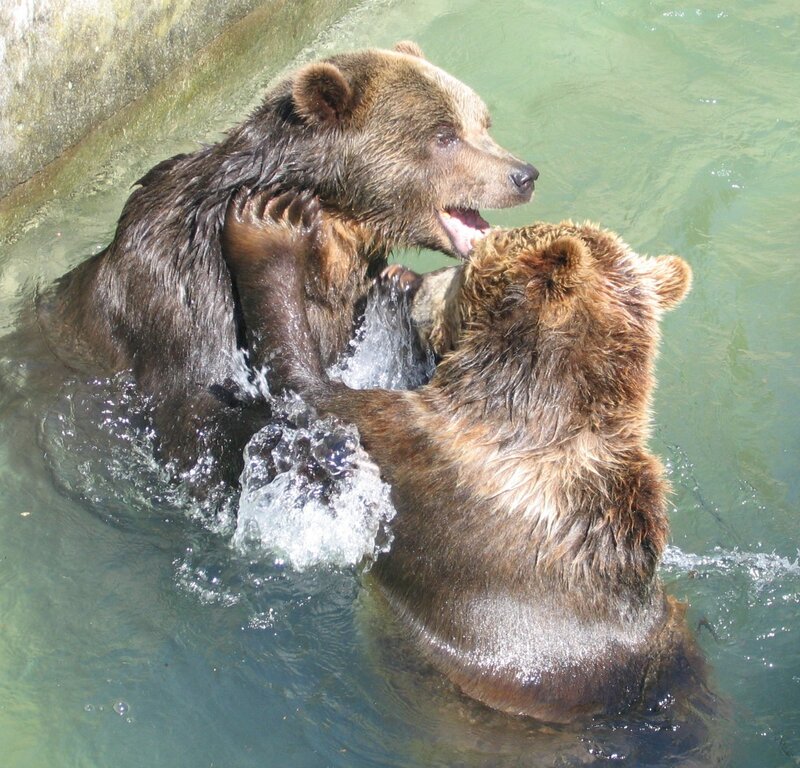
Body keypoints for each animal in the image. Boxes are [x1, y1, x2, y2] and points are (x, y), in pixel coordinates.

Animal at [37, 41, 537, 494]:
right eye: (444, 135)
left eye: (482, 122)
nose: (523, 174)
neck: (333, 232)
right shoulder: (188, 297)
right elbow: (198, 416)